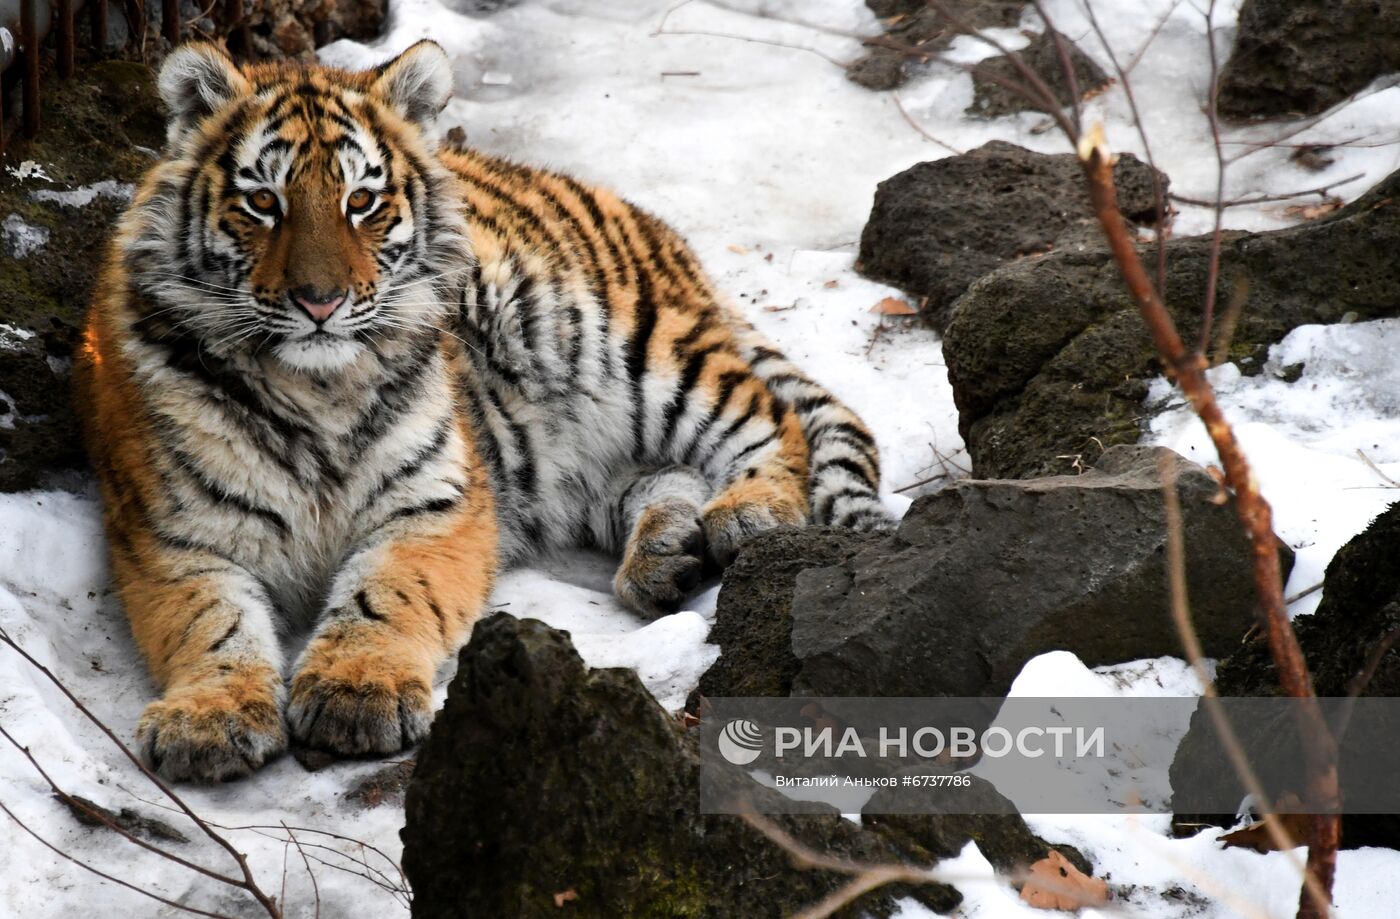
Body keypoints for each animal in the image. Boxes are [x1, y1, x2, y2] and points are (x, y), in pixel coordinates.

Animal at [76, 39, 890, 778]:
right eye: (262, 202)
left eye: (361, 201)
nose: (320, 301)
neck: (317, 390)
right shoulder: (170, 535)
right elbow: (211, 623)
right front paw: (208, 719)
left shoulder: (437, 505)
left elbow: (384, 594)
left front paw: (356, 694)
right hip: (568, 464)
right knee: (668, 473)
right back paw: (665, 557)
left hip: (625, 346)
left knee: (772, 418)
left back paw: (748, 512)